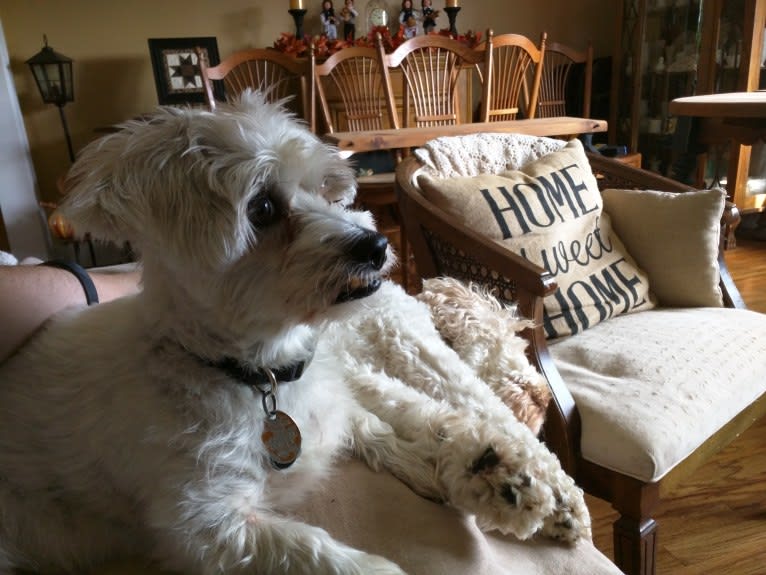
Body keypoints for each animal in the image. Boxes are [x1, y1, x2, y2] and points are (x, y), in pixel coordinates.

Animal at [0, 92, 592, 572]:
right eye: (262, 207)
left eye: (325, 191)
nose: (377, 245)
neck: (259, 374)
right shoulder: (206, 527)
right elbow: (322, 553)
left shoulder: (336, 397)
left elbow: (389, 426)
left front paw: (489, 472)